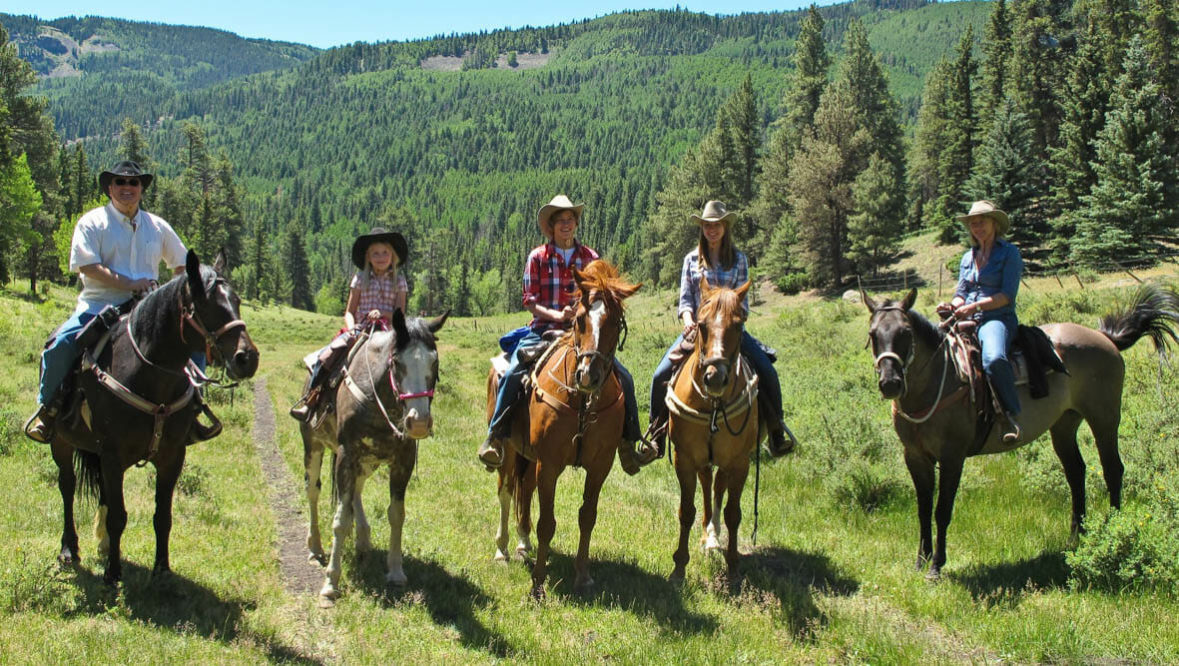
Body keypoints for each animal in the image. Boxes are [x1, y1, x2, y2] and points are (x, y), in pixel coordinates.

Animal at [50, 252, 258, 584]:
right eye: (205, 306)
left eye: (237, 300)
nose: (247, 359)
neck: (150, 376)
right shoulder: (112, 456)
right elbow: (119, 516)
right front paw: (113, 574)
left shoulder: (172, 456)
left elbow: (163, 517)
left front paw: (162, 570)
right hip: (61, 442)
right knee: (67, 488)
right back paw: (69, 549)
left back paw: (103, 545)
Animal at [485, 256, 641, 594]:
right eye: (580, 319)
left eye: (615, 321)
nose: (588, 375)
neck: (583, 402)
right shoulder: (550, 463)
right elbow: (547, 523)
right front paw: (538, 584)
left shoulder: (599, 466)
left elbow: (587, 517)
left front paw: (582, 575)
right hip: (508, 448)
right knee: (506, 491)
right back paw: (502, 550)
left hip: (528, 456)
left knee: (524, 490)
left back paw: (523, 544)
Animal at [669, 278, 759, 579]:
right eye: (701, 324)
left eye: (739, 325)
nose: (715, 378)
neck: (714, 404)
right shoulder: (684, 457)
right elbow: (686, 510)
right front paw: (679, 566)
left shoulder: (740, 461)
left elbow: (733, 513)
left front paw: (733, 564)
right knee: (709, 483)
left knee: (718, 486)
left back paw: (712, 535)